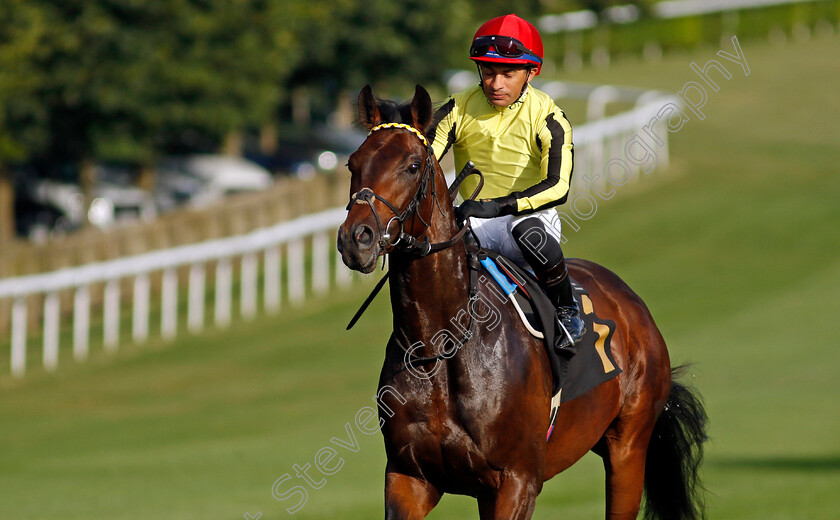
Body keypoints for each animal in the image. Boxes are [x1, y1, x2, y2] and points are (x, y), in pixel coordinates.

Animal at [338, 85, 704, 520]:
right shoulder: (409, 478)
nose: (356, 238)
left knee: (532, 231)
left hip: (629, 447)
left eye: (412, 166)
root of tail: (633, 304)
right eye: (352, 163)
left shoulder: (518, 480)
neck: (442, 344)